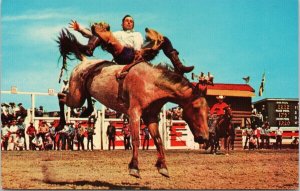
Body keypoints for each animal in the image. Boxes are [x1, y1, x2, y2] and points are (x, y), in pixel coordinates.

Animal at [57, 29, 210, 178]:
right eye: (196, 108)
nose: (205, 137)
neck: (151, 83)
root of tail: (85, 62)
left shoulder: (151, 116)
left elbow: (158, 140)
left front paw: (163, 167)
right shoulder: (134, 113)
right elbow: (136, 139)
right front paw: (134, 168)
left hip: (80, 96)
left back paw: (86, 110)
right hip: (76, 97)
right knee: (60, 96)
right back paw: (61, 124)